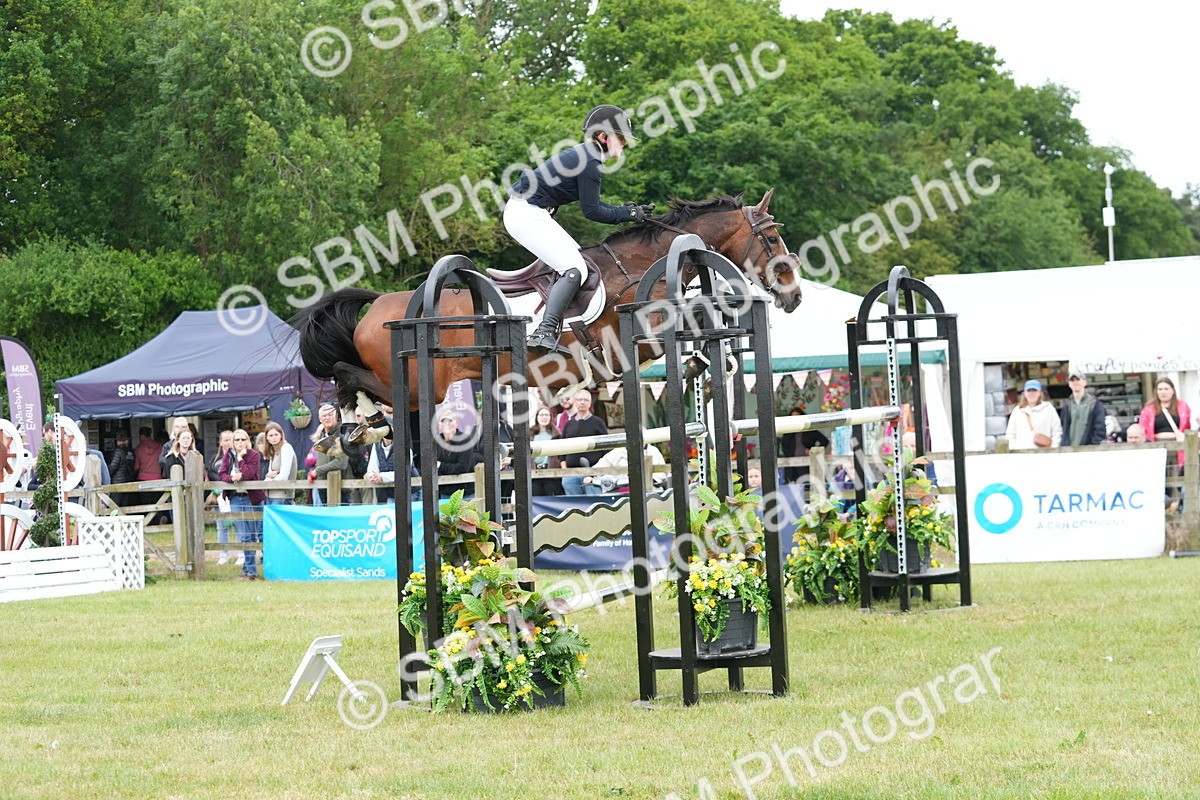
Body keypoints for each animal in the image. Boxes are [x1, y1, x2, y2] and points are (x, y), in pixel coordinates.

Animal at [291, 190, 802, 429]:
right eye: (773, 237)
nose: (794, 295)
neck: (636, 267)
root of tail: (379, 304)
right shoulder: (630, 339)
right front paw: (709, 365)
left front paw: (710, 368)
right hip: (423, 386)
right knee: (352, 376)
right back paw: (366, 422)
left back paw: (362, 423)